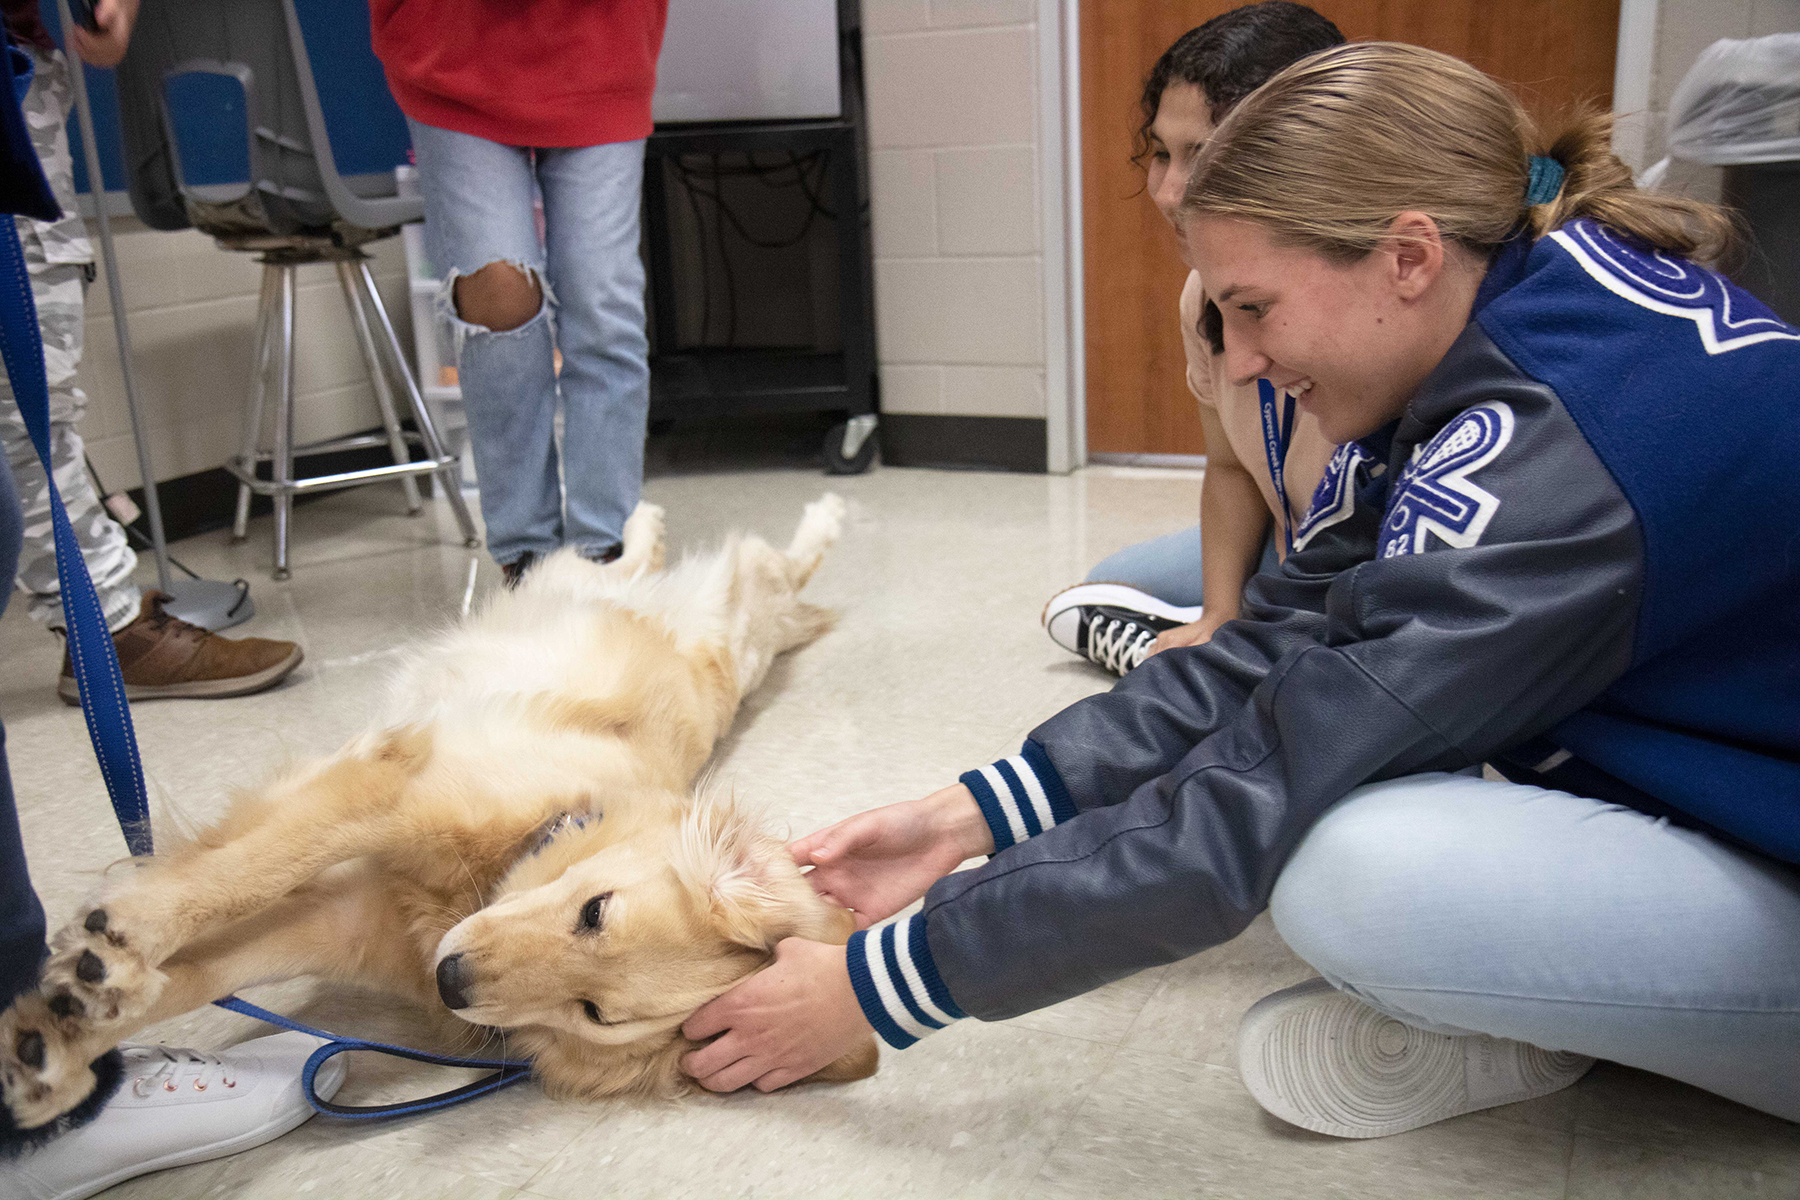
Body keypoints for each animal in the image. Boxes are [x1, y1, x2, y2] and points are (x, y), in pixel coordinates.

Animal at [0, 492, 871, 1129]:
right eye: (594, 911)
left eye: (593, 1011)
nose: (452, 981)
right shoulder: (391, 788)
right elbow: (248, 872)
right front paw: (129, 931)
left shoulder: (335, 921)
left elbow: (196, 976)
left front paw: (60, 1037)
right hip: (712, 594)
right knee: (719, 562)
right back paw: (763, 515)